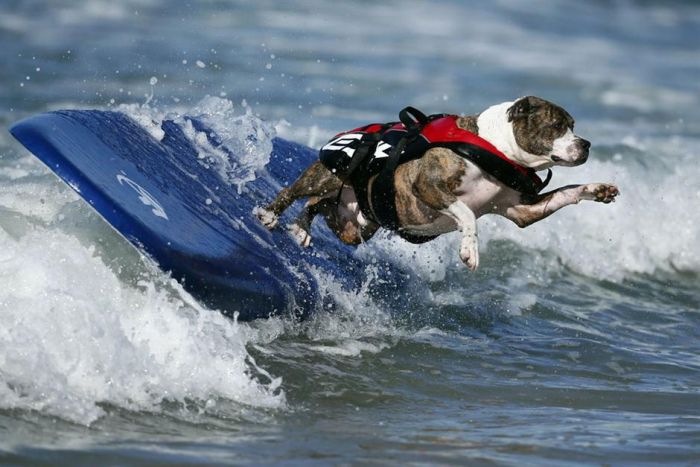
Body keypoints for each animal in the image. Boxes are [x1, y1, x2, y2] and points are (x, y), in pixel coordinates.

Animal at [253, 96, 616, 270]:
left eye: (573, 126)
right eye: (556, 126)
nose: (586, 144)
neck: (495, 147)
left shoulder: (522, 211)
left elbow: (565, 194)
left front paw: (596, 189)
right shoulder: (427, 185)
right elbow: (467, 214)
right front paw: (470, 250)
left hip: (356, 225)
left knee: (321, 205)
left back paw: (301, 228)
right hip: (329, 173)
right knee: (297, 191)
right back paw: (271, 215)